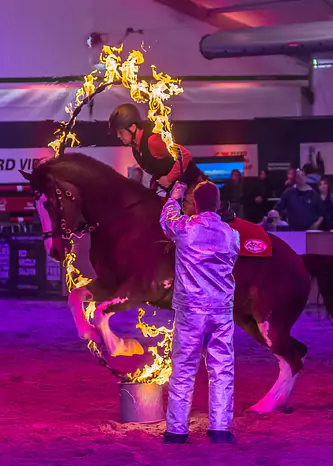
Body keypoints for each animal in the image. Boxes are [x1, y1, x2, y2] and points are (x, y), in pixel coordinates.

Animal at [19, 153, 332, 416]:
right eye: (35, 204)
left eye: (53, 201)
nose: (54, 251)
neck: (126, 221)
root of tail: (300, 260)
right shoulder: (109, 281)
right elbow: (77, 297)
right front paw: (92, 335)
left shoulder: (143, 288)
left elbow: (100, 311)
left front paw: (124, 347)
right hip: (252, 322)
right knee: (295, 354)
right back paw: (276, 403)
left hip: (270, 323)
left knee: (293, 359)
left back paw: (264, 406)